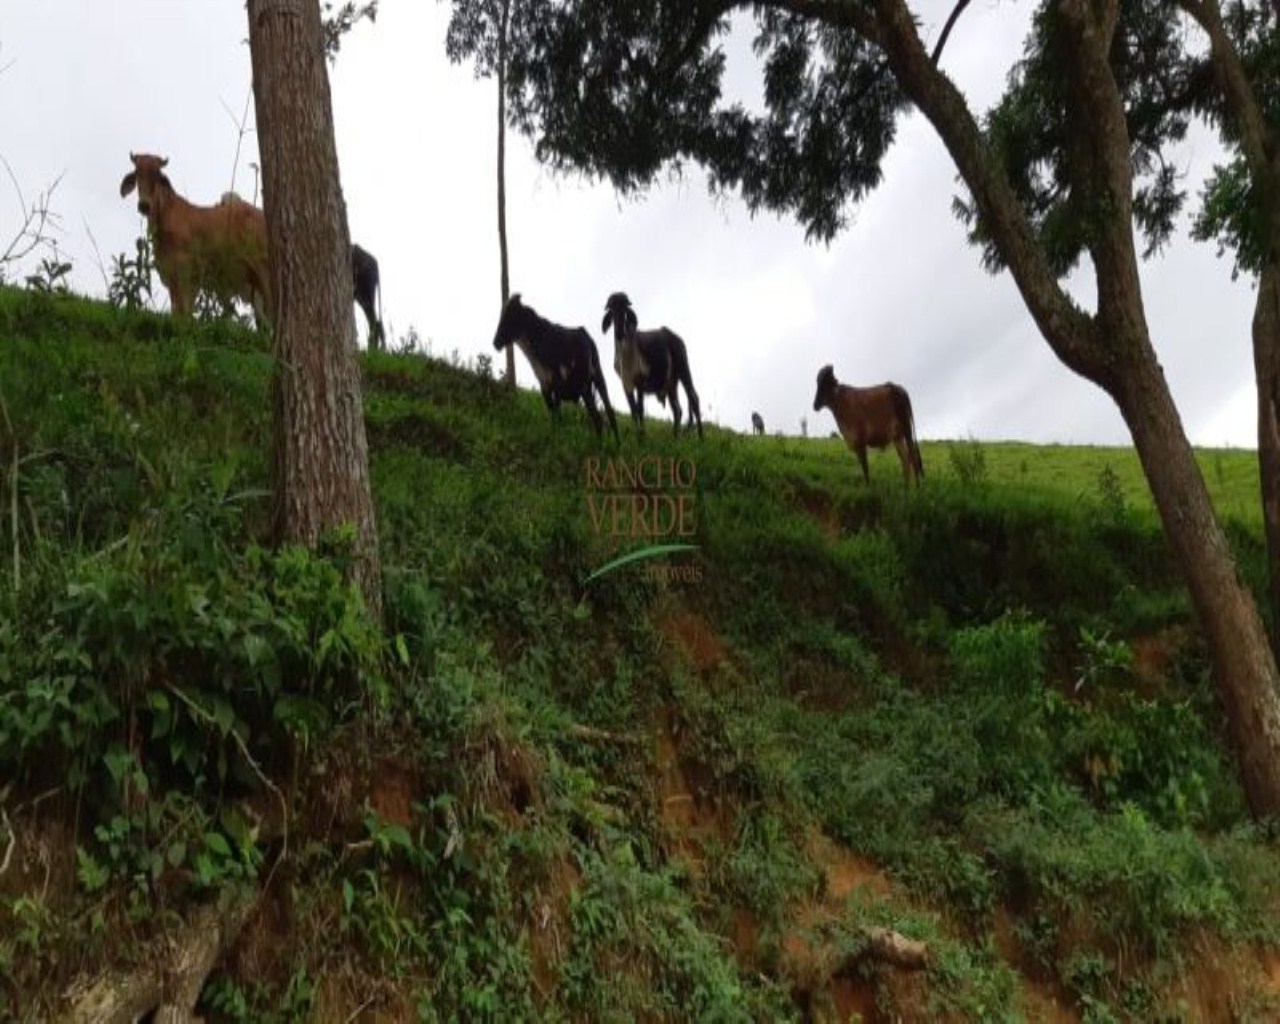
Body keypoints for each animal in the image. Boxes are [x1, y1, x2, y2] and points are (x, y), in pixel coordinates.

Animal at [119, 152, 271, 323]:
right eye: (137, 173)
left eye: (157, 175)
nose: (144, 205)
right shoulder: (170, 277)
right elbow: (176, 311)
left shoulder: (188, 273)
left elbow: (185, 311)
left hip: (264, 269)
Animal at [596, 294, 701, 442]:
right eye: (612, 311)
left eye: (624, 310)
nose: (619, 333)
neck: (625, 352)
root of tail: (676, 338)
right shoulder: (626, 384)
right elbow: (633, 410)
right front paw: (637, 435)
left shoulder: (640, 381)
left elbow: (640, 409)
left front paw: (642, 436)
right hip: (671, 384)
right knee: (677, 410)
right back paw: (675, 438)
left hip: (684, 369)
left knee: (693, 398)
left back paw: (701, 438)